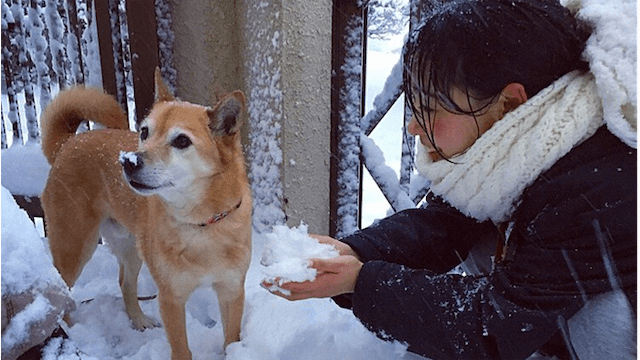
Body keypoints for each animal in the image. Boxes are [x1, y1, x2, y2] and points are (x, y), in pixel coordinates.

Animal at [40, 69, 252, 358]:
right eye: (144, 132)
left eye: (182, 141)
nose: (128, 161)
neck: (202, 224)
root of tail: (69, 142)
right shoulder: (171, 298)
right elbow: (182, 350)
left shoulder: (232, 291)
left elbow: (231, 340)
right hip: (74, 248)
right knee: (62, 292)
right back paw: (72, 330)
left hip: (130, 247)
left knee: (125, 283)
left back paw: (138, 320)